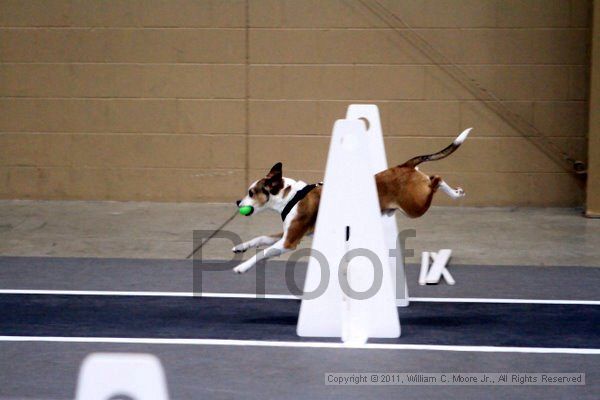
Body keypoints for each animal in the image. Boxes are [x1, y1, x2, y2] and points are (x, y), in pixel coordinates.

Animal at [232, 128, 472, 276]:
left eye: (251, 192)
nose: (237, 202)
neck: (292, 196)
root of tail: (405, 165)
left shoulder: (288, 241)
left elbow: (263, 253)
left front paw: (243, 267)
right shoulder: (286, 234)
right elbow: (259, 239)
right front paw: (241, 247)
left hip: (415, 206)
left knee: (436, 179)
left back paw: (455, 193)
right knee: (434, 178)